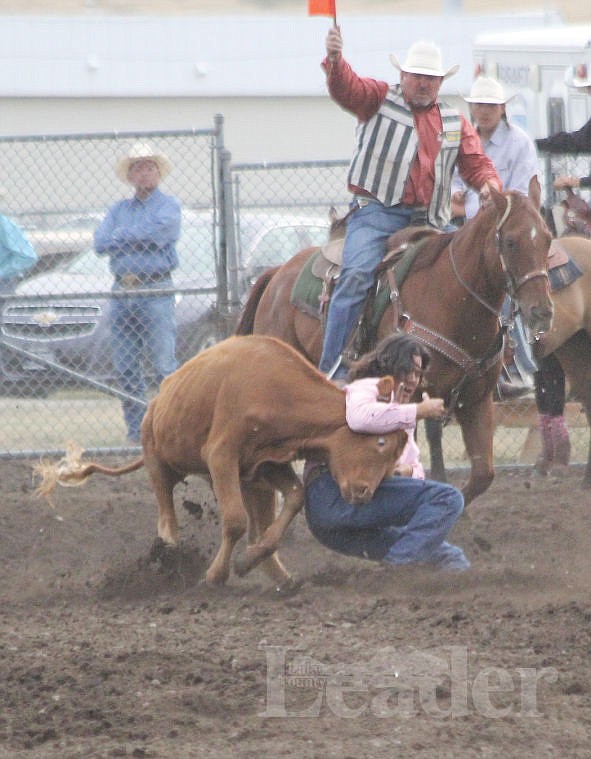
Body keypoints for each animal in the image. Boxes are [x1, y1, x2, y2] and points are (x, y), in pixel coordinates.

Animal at [237, 188, 556, 504]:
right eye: (511, 241)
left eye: (548, 238)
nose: (542, 311)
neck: (450, 299)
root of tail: (277, 273)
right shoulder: (411, 397)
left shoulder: (477, 401)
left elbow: (481, 476)